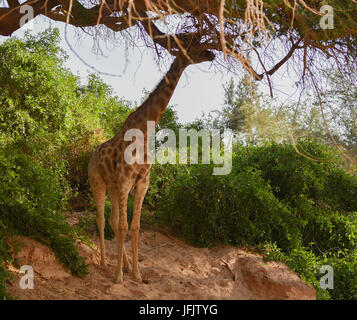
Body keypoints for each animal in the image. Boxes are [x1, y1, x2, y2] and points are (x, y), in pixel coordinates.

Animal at [88, 50, 214, 282]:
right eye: (193, 47)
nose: (211, 54)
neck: (144, 131)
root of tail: (92, 155)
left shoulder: (142, 182)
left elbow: (135, 226)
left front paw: (136, 274)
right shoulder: (125, 181)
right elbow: (124, 226)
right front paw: (119, 278)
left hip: (113, 186)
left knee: (112, 220)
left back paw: (126, 265)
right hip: (97, 181)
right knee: (101, 219)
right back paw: (103, 263)